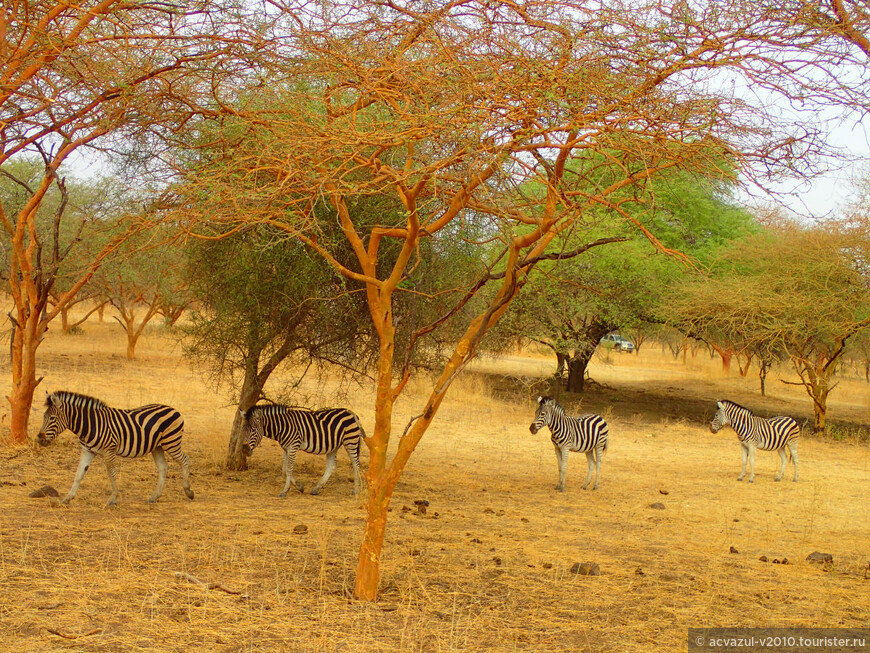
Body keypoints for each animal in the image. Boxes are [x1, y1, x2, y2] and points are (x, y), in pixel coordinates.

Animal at [38, 390, 194, 506]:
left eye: (52, 418)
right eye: (44, 416)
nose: (39, 439)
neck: (90, 425)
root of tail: (174, 409)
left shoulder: (109, 451)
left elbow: (111, 474)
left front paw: (113, 498)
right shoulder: (87, 451)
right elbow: (78, 474)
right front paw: (68, 498)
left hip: (171, 442)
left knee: (185, 460)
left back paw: (188, 491)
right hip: (157, 447)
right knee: (163, 467)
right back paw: (155, 496)